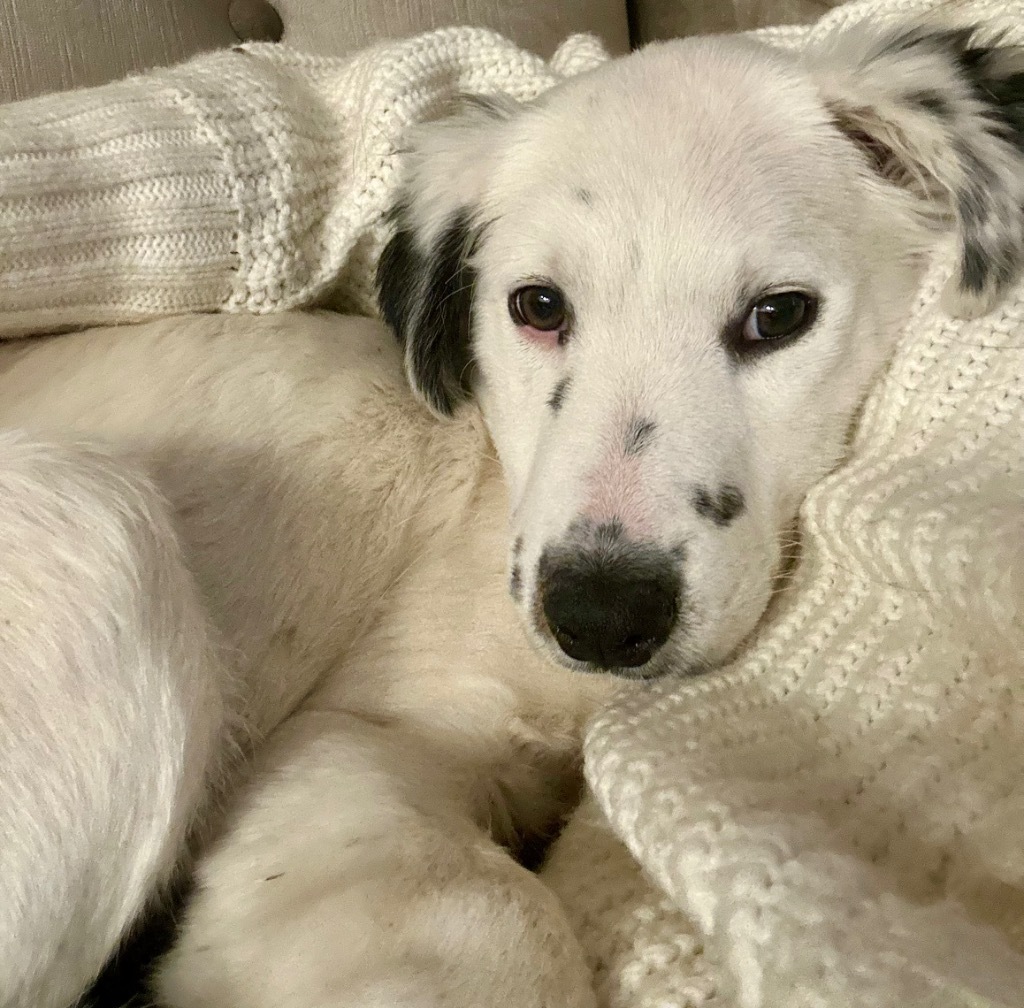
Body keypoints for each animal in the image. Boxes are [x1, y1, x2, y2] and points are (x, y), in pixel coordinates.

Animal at [2, 15, 1024, 1008]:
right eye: (537, 306)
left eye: (778, 316)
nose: (599, 619)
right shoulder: (354, 737)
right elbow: (495, 912)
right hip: (100, 524)